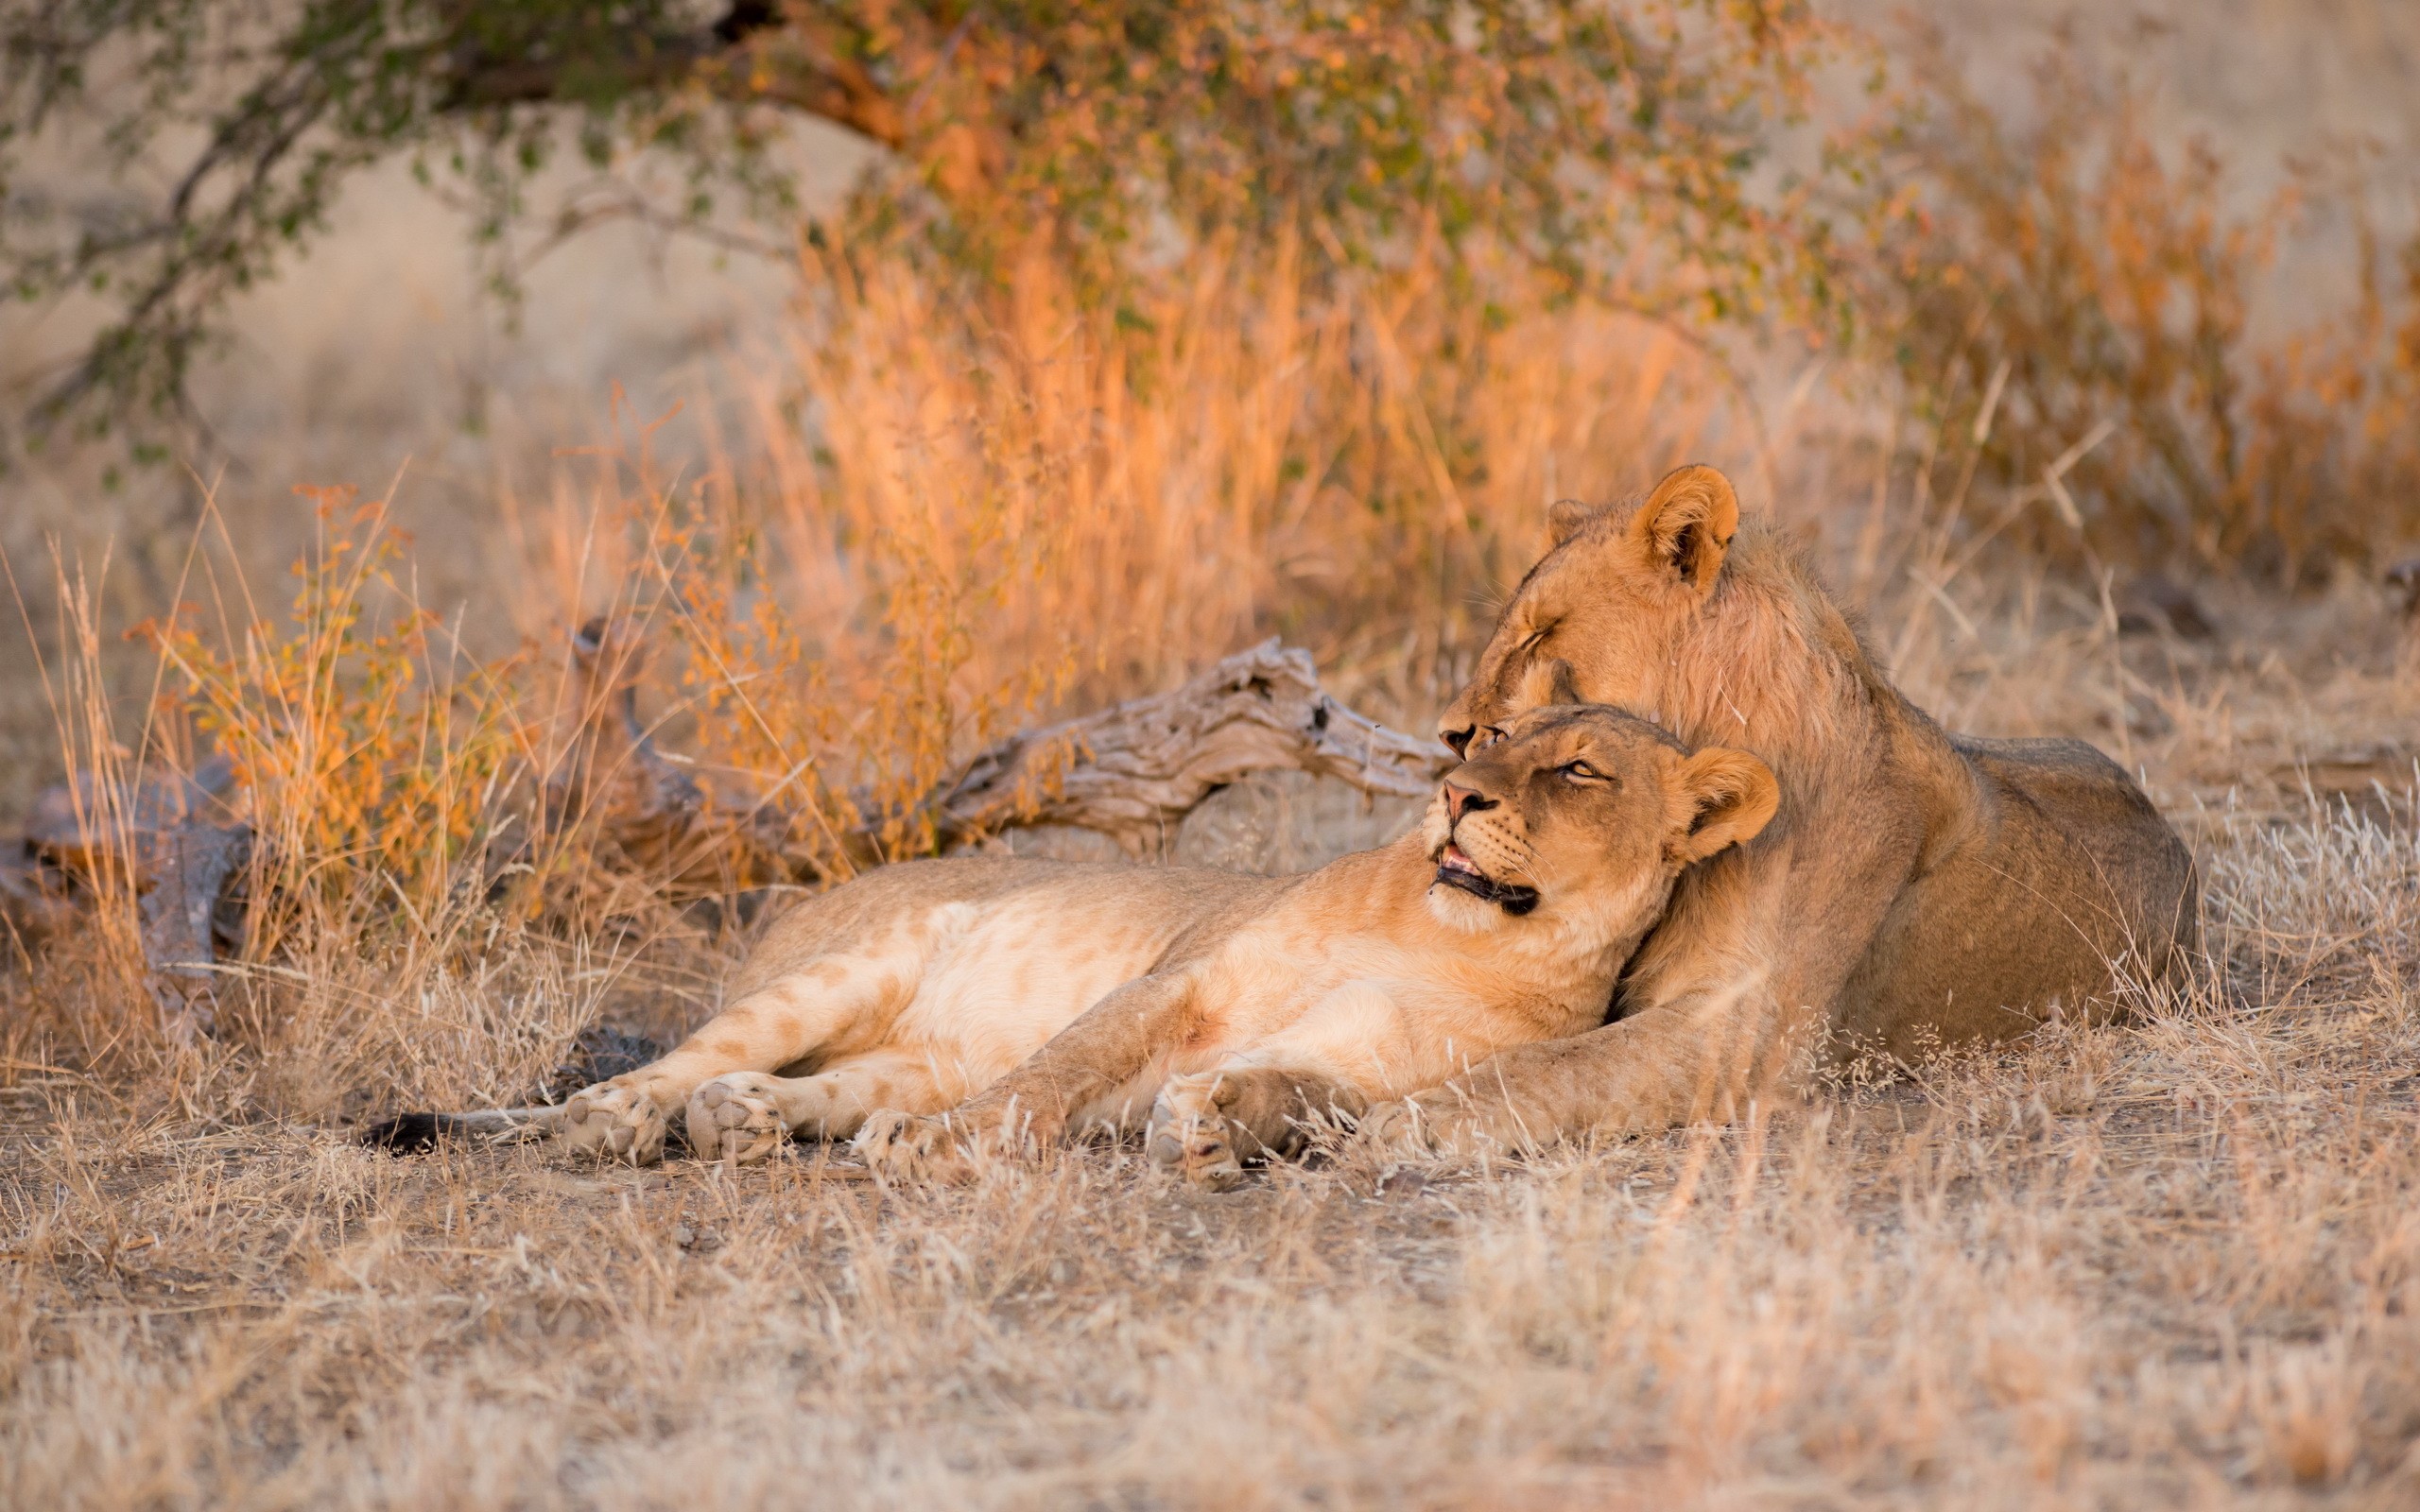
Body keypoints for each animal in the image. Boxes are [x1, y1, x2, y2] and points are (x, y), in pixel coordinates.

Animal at [376, 707, 1775, 1189]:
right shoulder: (1186, 978)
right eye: (1486, 739)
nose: (1454, 797)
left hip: (900, 1051)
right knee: (658, 1068)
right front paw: (947, 1154)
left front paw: (1212, 1129)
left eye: (1578, 767)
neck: (1458, 941)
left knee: (809, 1089)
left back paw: (750, 1125)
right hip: (844, 972)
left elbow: (1297, 1093)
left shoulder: (1380, 1069)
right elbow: (1057, 1071)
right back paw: (619, 1125)